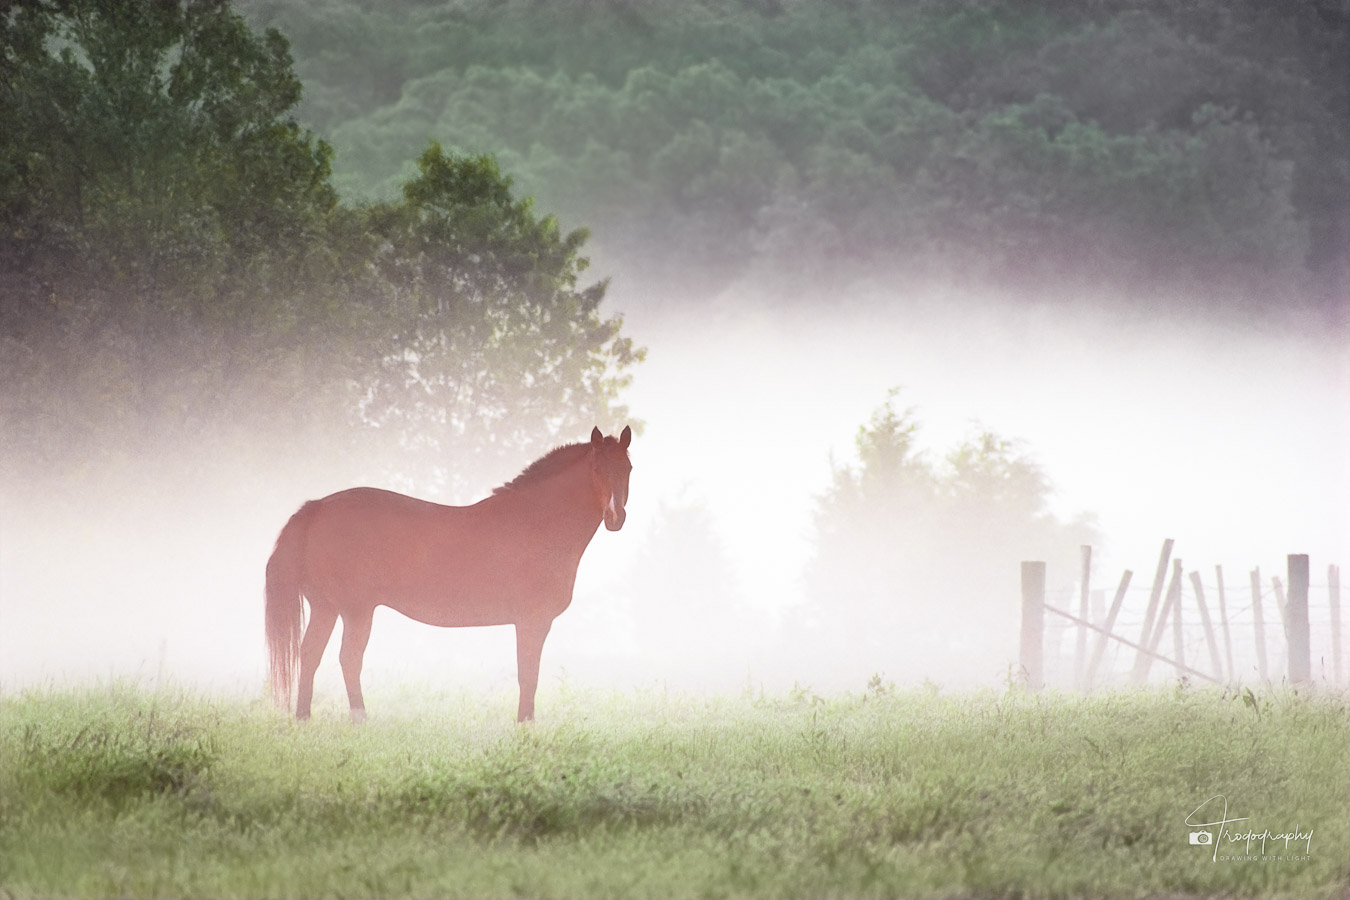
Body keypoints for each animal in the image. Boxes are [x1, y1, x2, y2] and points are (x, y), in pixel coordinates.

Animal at [264, 425, 632, 723]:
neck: (535, 522)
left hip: (325, 608)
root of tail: (317, 507)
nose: (615, 517)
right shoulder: (532, 621)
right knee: (348, 659)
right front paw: (525, 724)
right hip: (356, 611)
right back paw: (360, 718)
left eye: (628, 468)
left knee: (309, 654)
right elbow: (528, 673)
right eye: (596, 468)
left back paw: (303, 718)